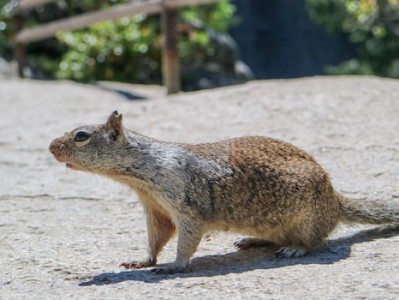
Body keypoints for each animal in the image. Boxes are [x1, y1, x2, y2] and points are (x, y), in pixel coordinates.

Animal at [50, 110, 399, 274]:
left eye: (81, 136)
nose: (51, 147)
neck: (143, 174)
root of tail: (335, 200)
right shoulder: (155, 208)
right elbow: (157, 237)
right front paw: (142, 260)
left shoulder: (186, 204)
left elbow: (187, 239)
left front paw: (174, 266)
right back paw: (251, 240)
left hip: (306, 219)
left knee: (313, 241)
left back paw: (294, 249)